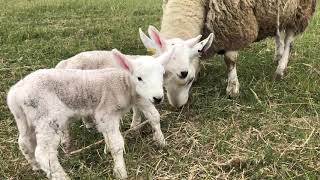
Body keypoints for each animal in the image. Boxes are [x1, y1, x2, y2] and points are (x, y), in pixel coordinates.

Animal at [6, 48, 174, 179]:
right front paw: (120, 171)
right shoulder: (106, 112)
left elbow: (154, 117)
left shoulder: (136, 100)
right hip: (47, 117)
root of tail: (15, 94)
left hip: (24, 118)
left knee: (24, 142)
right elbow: (117, 144)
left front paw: (160, 141)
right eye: (139, 78)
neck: (123, 83)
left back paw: (34, 166)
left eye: (162, 75)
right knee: (44, 154)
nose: (158, 98)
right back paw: (61, 176)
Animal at [159, 0, 316, 105]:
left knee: (289, 39)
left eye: (189, 79)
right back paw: (278, 54)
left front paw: (232, 88)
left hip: (299, 10)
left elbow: (230, 60)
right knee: (277, 31)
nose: (177, 106)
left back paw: (280, 68)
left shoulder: (232, 22)